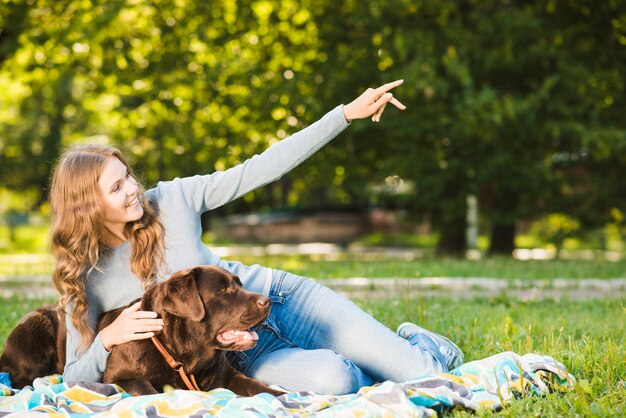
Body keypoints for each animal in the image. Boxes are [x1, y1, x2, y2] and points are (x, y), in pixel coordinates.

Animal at [0, 266, 282, 396]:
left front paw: (283, 395)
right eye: (223, 290)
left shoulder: (229, 375)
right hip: (36, 329)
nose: (267, 301)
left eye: (239, 285)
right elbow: (146, 389)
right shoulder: (120, 375)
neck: (182, 354)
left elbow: (258, 386)